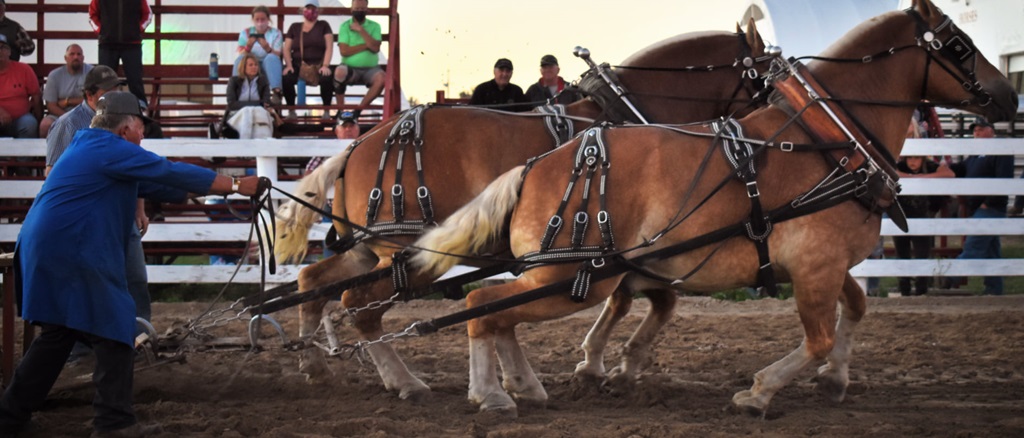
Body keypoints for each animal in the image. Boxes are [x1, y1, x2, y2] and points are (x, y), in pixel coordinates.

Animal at [273, 23, 769, 399]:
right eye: (765, 76)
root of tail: (357, 145)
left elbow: (643, 301)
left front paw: (599, 365)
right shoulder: (627, 247)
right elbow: (651, 300)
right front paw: (605, 365)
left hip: (368, 250)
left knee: (312, 283)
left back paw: (315, 363)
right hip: (404, 252)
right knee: (359, 306)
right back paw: (405, 381)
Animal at [412, 0, 1017, 417]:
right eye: (958, 44)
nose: (1009, 96)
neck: (831, 140)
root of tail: (535, 166)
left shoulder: (823, 264)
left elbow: (857, 308)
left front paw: (836, 379)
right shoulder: (816, 267)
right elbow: (817, 338)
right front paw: (759, 392)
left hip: (566, 276)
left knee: (494, 312)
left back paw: (516, 387)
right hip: (572, 277)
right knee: (485, 307)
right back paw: (489, 393)